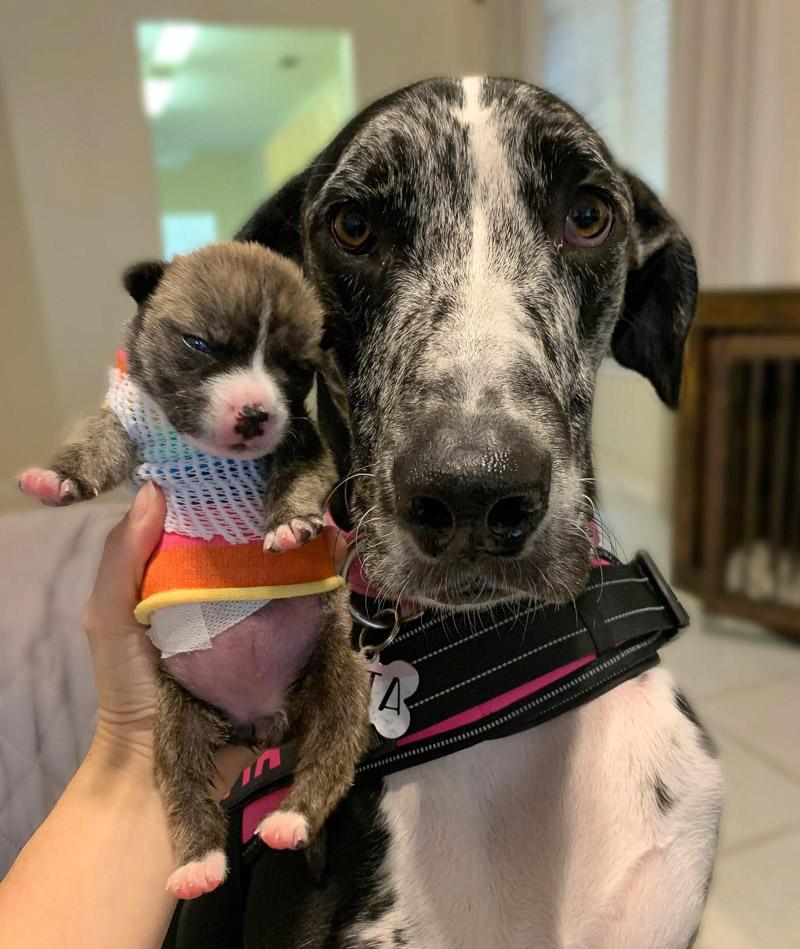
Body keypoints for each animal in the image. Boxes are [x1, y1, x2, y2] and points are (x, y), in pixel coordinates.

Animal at [18, 241, 368, 900]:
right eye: (200, 344)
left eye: (294, 367)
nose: (256, 413)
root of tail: (264, 714)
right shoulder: (123, 425)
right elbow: (95, 445)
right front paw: (56, 478)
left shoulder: (300, 439)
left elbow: (302, 477)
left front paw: (290, 525)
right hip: (176, 718)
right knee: (184, 788)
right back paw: (198, 864)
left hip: (339, 672)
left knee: (332, 752)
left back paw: (290, 819)